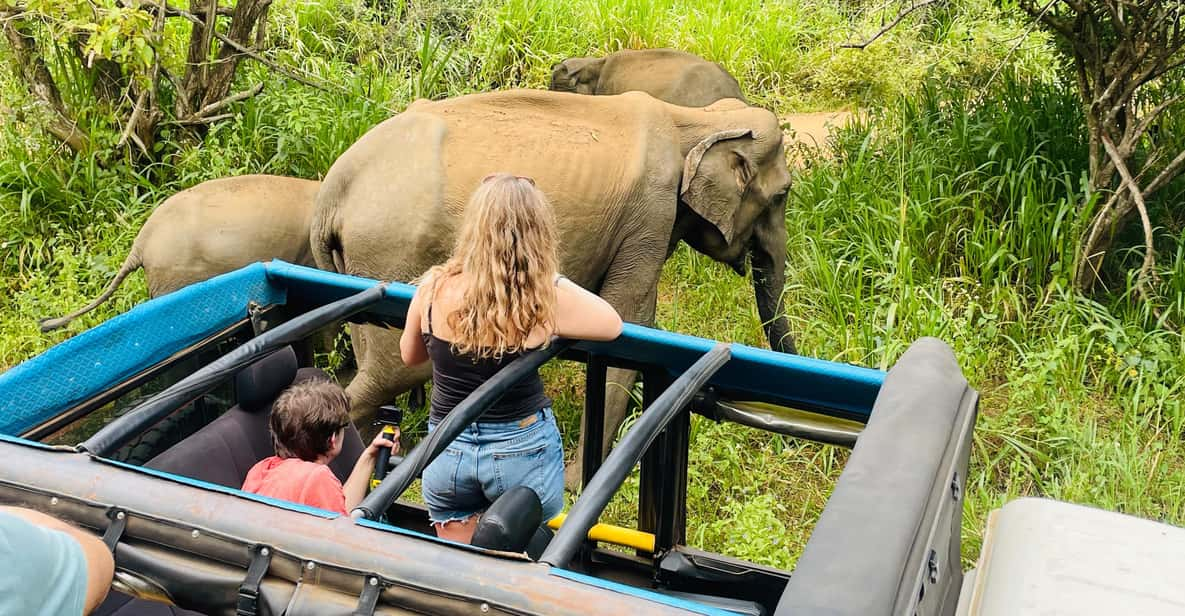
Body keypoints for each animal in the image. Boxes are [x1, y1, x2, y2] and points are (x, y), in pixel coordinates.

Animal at [315, 88, 796, 483]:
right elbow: (627, 317)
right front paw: (576, 483)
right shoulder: (651, 212)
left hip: (357, 262)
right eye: (783, 194)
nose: (787, 441)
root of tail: (333, 191)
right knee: (390, 373)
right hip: (394, 251)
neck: (699, 119)